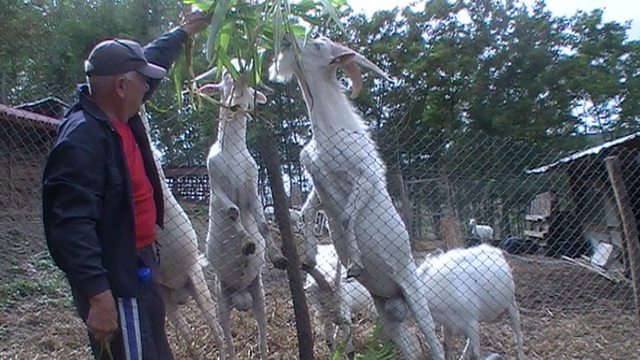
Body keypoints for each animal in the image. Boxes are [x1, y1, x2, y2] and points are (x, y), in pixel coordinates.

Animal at [202, 64, 288, 360]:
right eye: (225, 79)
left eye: (250, 85)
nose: (236, 105)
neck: (233, 152)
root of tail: (240, 297)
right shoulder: (217, 187)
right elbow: (232, 212)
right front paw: (247, 243)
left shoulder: (252, 188)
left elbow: (262, 223)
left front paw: (278, 257)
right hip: (221, 299)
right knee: (227, 338)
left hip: (259, 294)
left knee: (261, 331)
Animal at [270, 34, 444, 360]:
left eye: (317, 44)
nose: (287, 38)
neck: (328, 132)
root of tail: (398, 297)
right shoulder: (318, 182)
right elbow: (307, 212)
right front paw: (309, 257)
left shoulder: (364, 177)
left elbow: (348, 215)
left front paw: (355, 263)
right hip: (386, 312)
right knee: (409, 346)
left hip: (415, 293)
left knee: (434, 343)